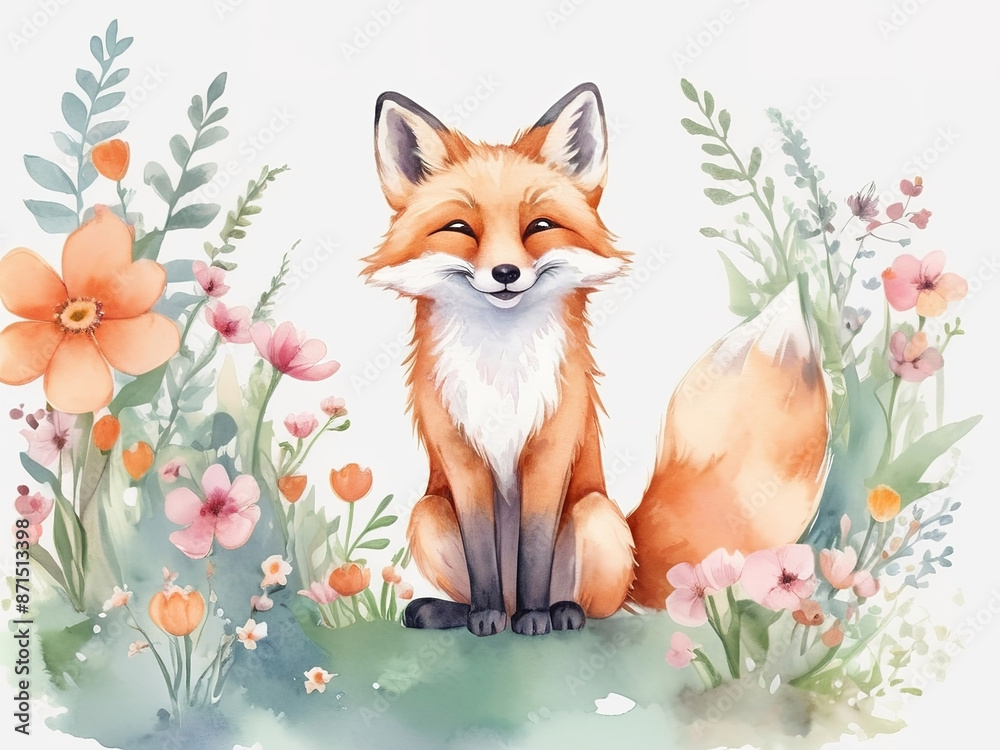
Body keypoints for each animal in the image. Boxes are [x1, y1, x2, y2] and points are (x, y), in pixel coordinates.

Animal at [362, 83, 830, 636]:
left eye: (539, 226)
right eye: (459, 228)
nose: (505, 273)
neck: (502, 367)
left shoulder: (552, 444)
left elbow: (536, 548)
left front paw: (537, 618)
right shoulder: (461, 455)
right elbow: (481, 557)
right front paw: (485, 616)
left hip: (596, 516)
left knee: (596, 606)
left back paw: (557, 612)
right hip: (429, 512)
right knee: (485, 586)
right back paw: (456, 612)